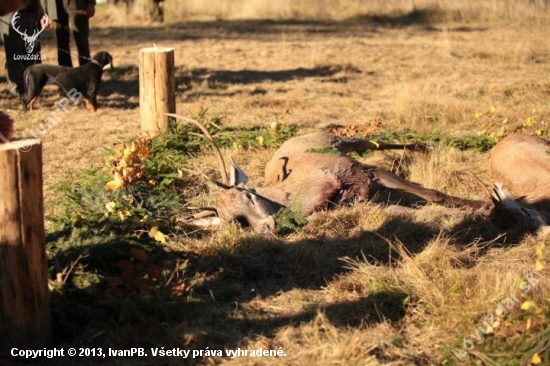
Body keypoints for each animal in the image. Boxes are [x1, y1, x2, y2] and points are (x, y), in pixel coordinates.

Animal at [172, 116, 488, 233]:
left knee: (375, 142)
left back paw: (424, 145)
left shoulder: (361, 172)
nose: (267, 227)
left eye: (249, 195)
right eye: (236, 221)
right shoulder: (354, 199)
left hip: (343, 142)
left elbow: (431, 193)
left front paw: (482, 205)